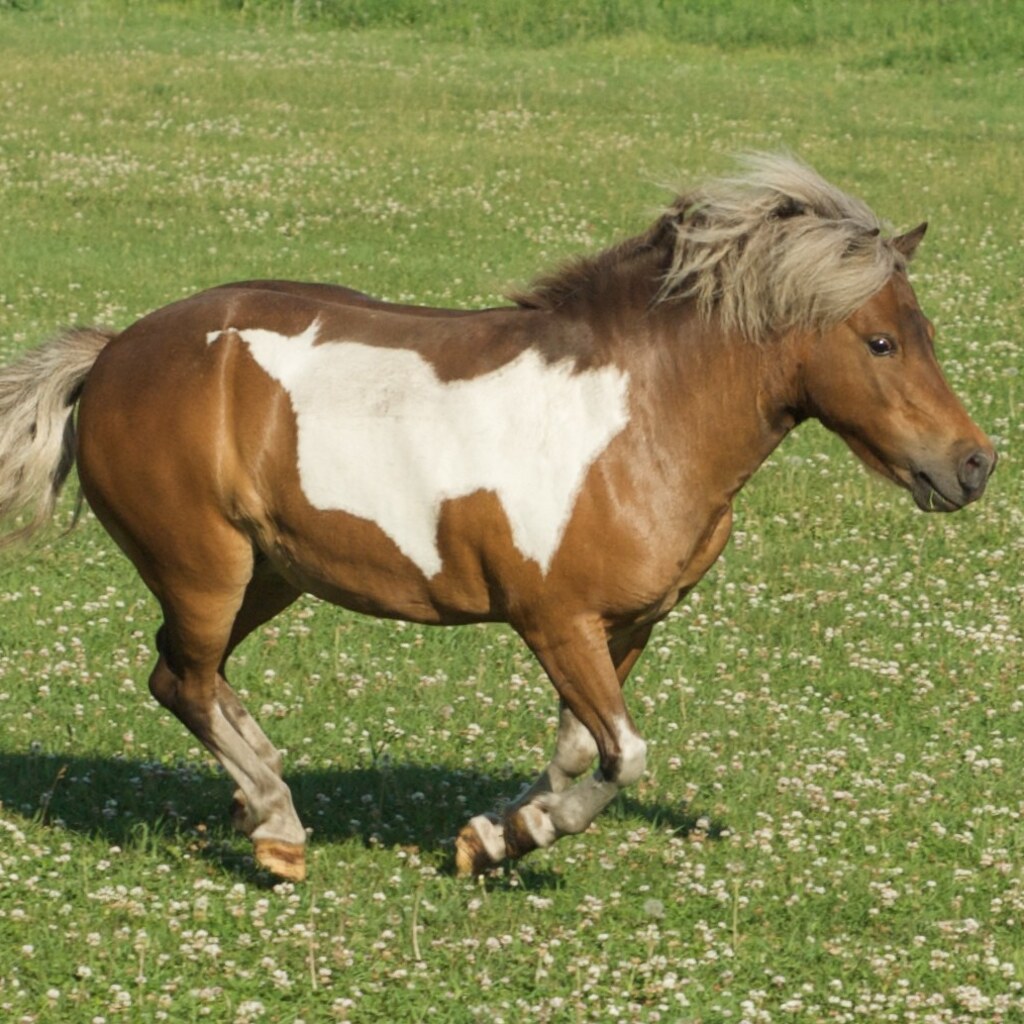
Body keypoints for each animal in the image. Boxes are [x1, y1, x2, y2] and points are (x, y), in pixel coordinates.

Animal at [0, 155, 995, 882]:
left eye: (927, 332)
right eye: (880, 342)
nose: (974, 465)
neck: (641, 419)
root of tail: (116, 351)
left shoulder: (627, 624)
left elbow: (578, 750)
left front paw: (495, 836)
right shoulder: (555, 621)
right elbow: (625, 755)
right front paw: (518, 834)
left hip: (270, 575)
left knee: (183, 676)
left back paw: (261, 803)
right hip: (204, 569)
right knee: (187, 682)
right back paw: (279, 828)